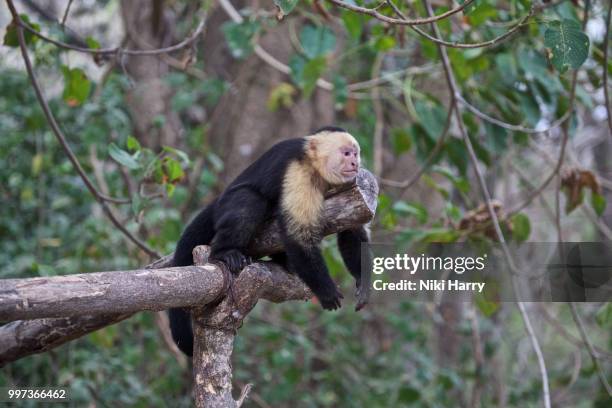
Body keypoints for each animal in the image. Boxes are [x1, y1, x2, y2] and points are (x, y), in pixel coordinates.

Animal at [171, 126, 372, 356]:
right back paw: (225, 252)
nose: (355, 163)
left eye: (355, 153)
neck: (316, 167)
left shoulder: (346, 185)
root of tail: (220, 199)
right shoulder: (298, 172)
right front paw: (326, 291)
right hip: (228, 204)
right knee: (249, 201)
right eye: (347, 153)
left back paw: (284, 261)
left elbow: (352, 225)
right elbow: (298, 235)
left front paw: (362, 280)